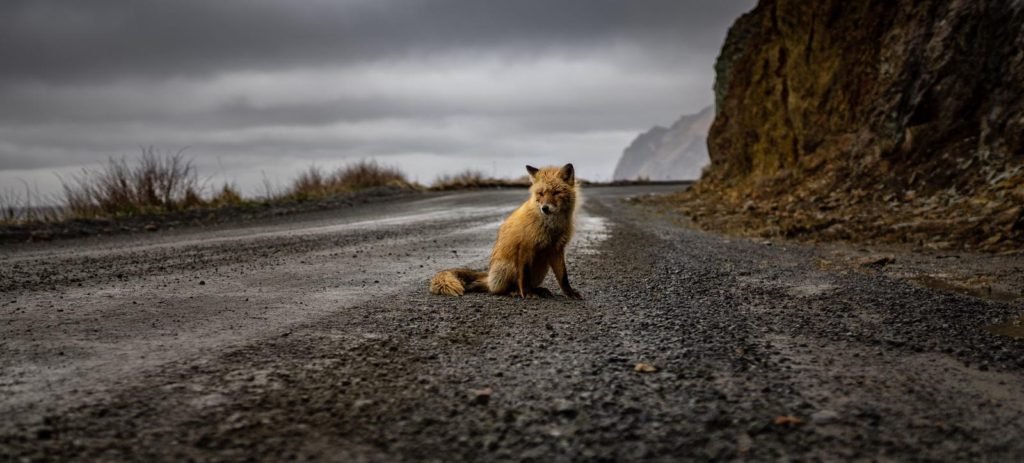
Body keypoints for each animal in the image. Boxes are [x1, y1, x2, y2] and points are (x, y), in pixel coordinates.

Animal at [430, 163, 583, 299]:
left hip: (542, 266)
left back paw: (538, 290)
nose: (544, 208)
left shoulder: (556, 248)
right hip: (509, 266)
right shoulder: (525, 247)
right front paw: (526, 293)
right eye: (540, 193)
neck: (551, 225)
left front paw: (570, 293)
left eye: (556, 193)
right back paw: (515, 292)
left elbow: (563, 276)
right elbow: (524, 276)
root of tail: (489, 276)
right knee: (497, 289)